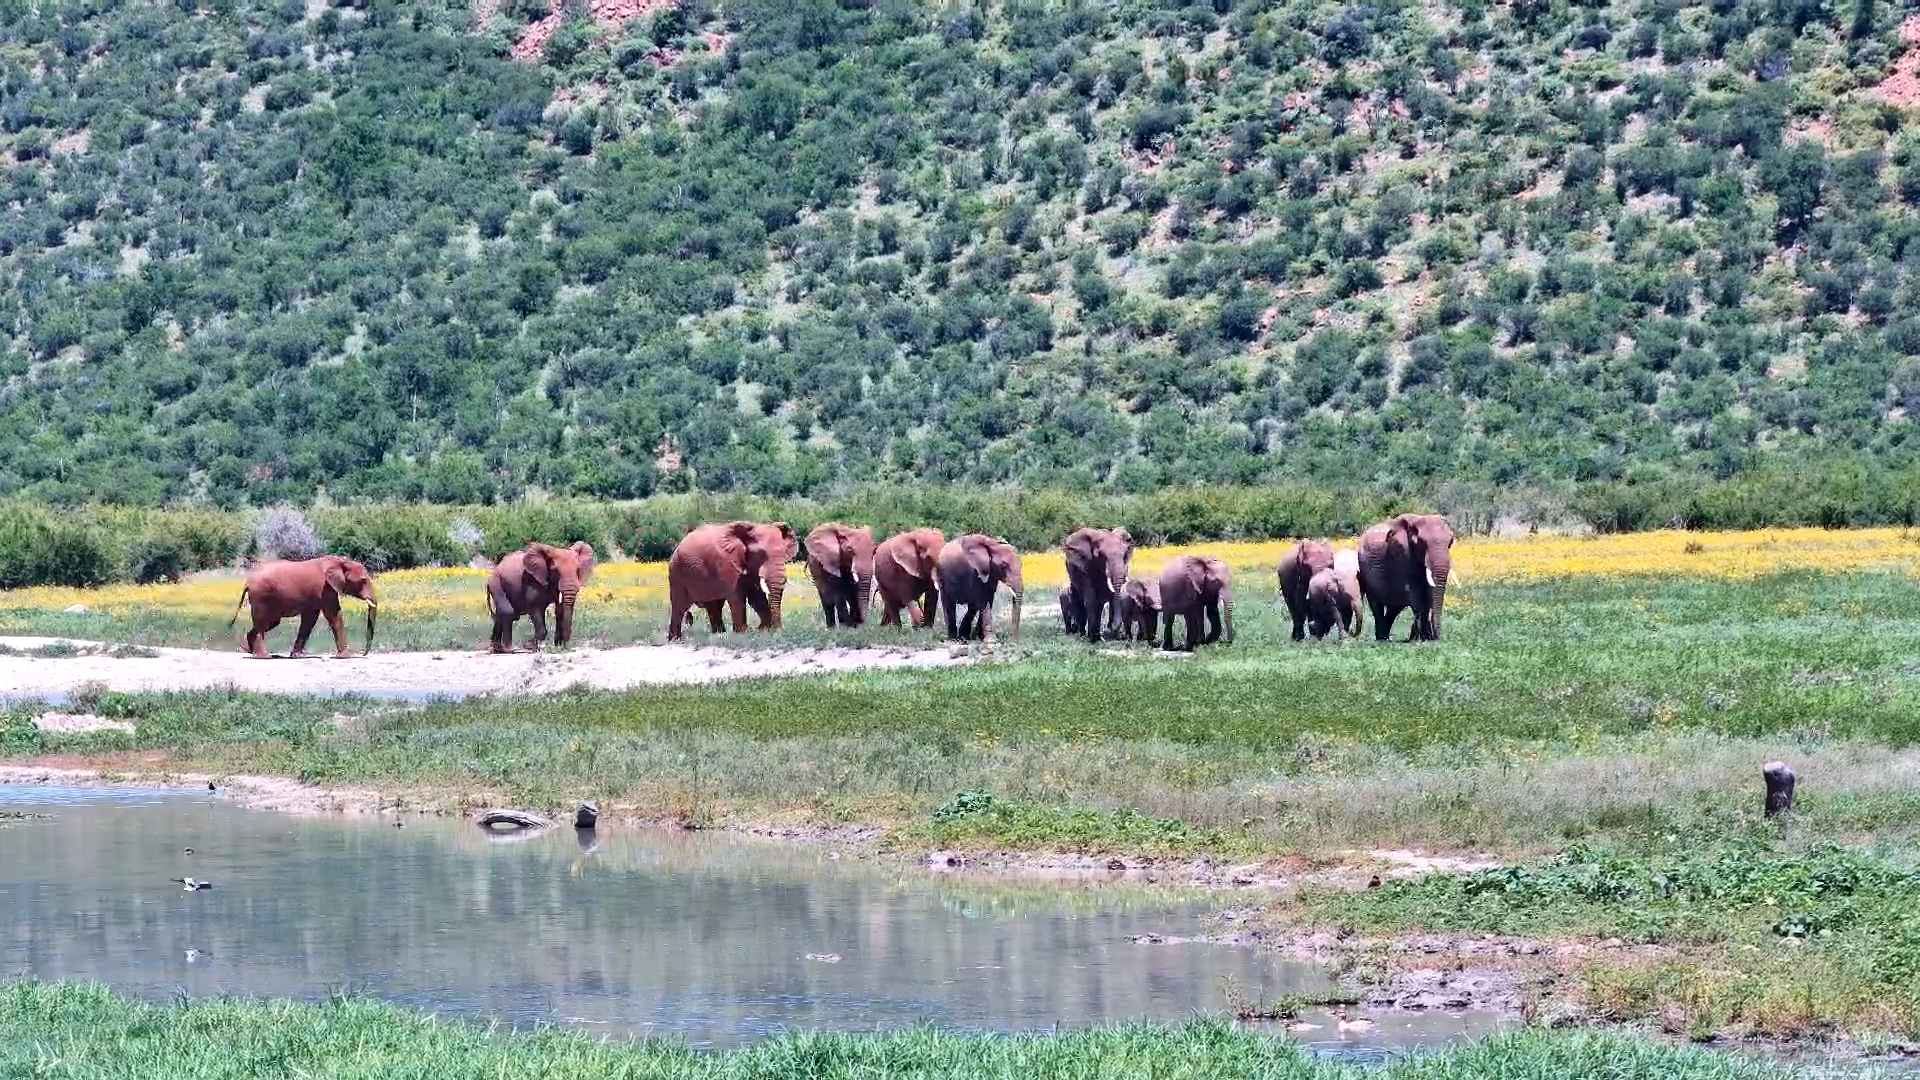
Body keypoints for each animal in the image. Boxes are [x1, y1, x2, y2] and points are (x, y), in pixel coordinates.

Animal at [228, 554, 377, 658]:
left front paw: (297, 656)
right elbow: (334, 615)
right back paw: (263, 656)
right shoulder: (326, 587)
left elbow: (310, 619)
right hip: (261, 597)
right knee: (262, 623)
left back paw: (247, 650)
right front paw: (345, 657)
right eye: (363, 580)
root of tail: (248, 582)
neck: (340, 561)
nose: (363, 654)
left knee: (270, 622)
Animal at [667, 521, 796, 640]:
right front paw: (743, 634)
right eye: (760, 554)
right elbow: (737, 596)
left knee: (714, 606)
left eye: (784, 553)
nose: (777, 630)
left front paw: (764, 631)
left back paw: (719, 634)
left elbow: (756, 596)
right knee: (679, 607)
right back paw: (675, 639)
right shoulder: (728, 563)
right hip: (677, 573)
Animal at [1357, 513, 1456, 641]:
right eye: (1422, 542)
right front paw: (1421, 639)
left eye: (1451, 541)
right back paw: (1382, 638)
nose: (1437, 637)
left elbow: (1428, 594)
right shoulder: (1402, 554)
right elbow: (1416, 594)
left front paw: (1425, 637)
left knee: (1394, 609)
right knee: (1376, 605)